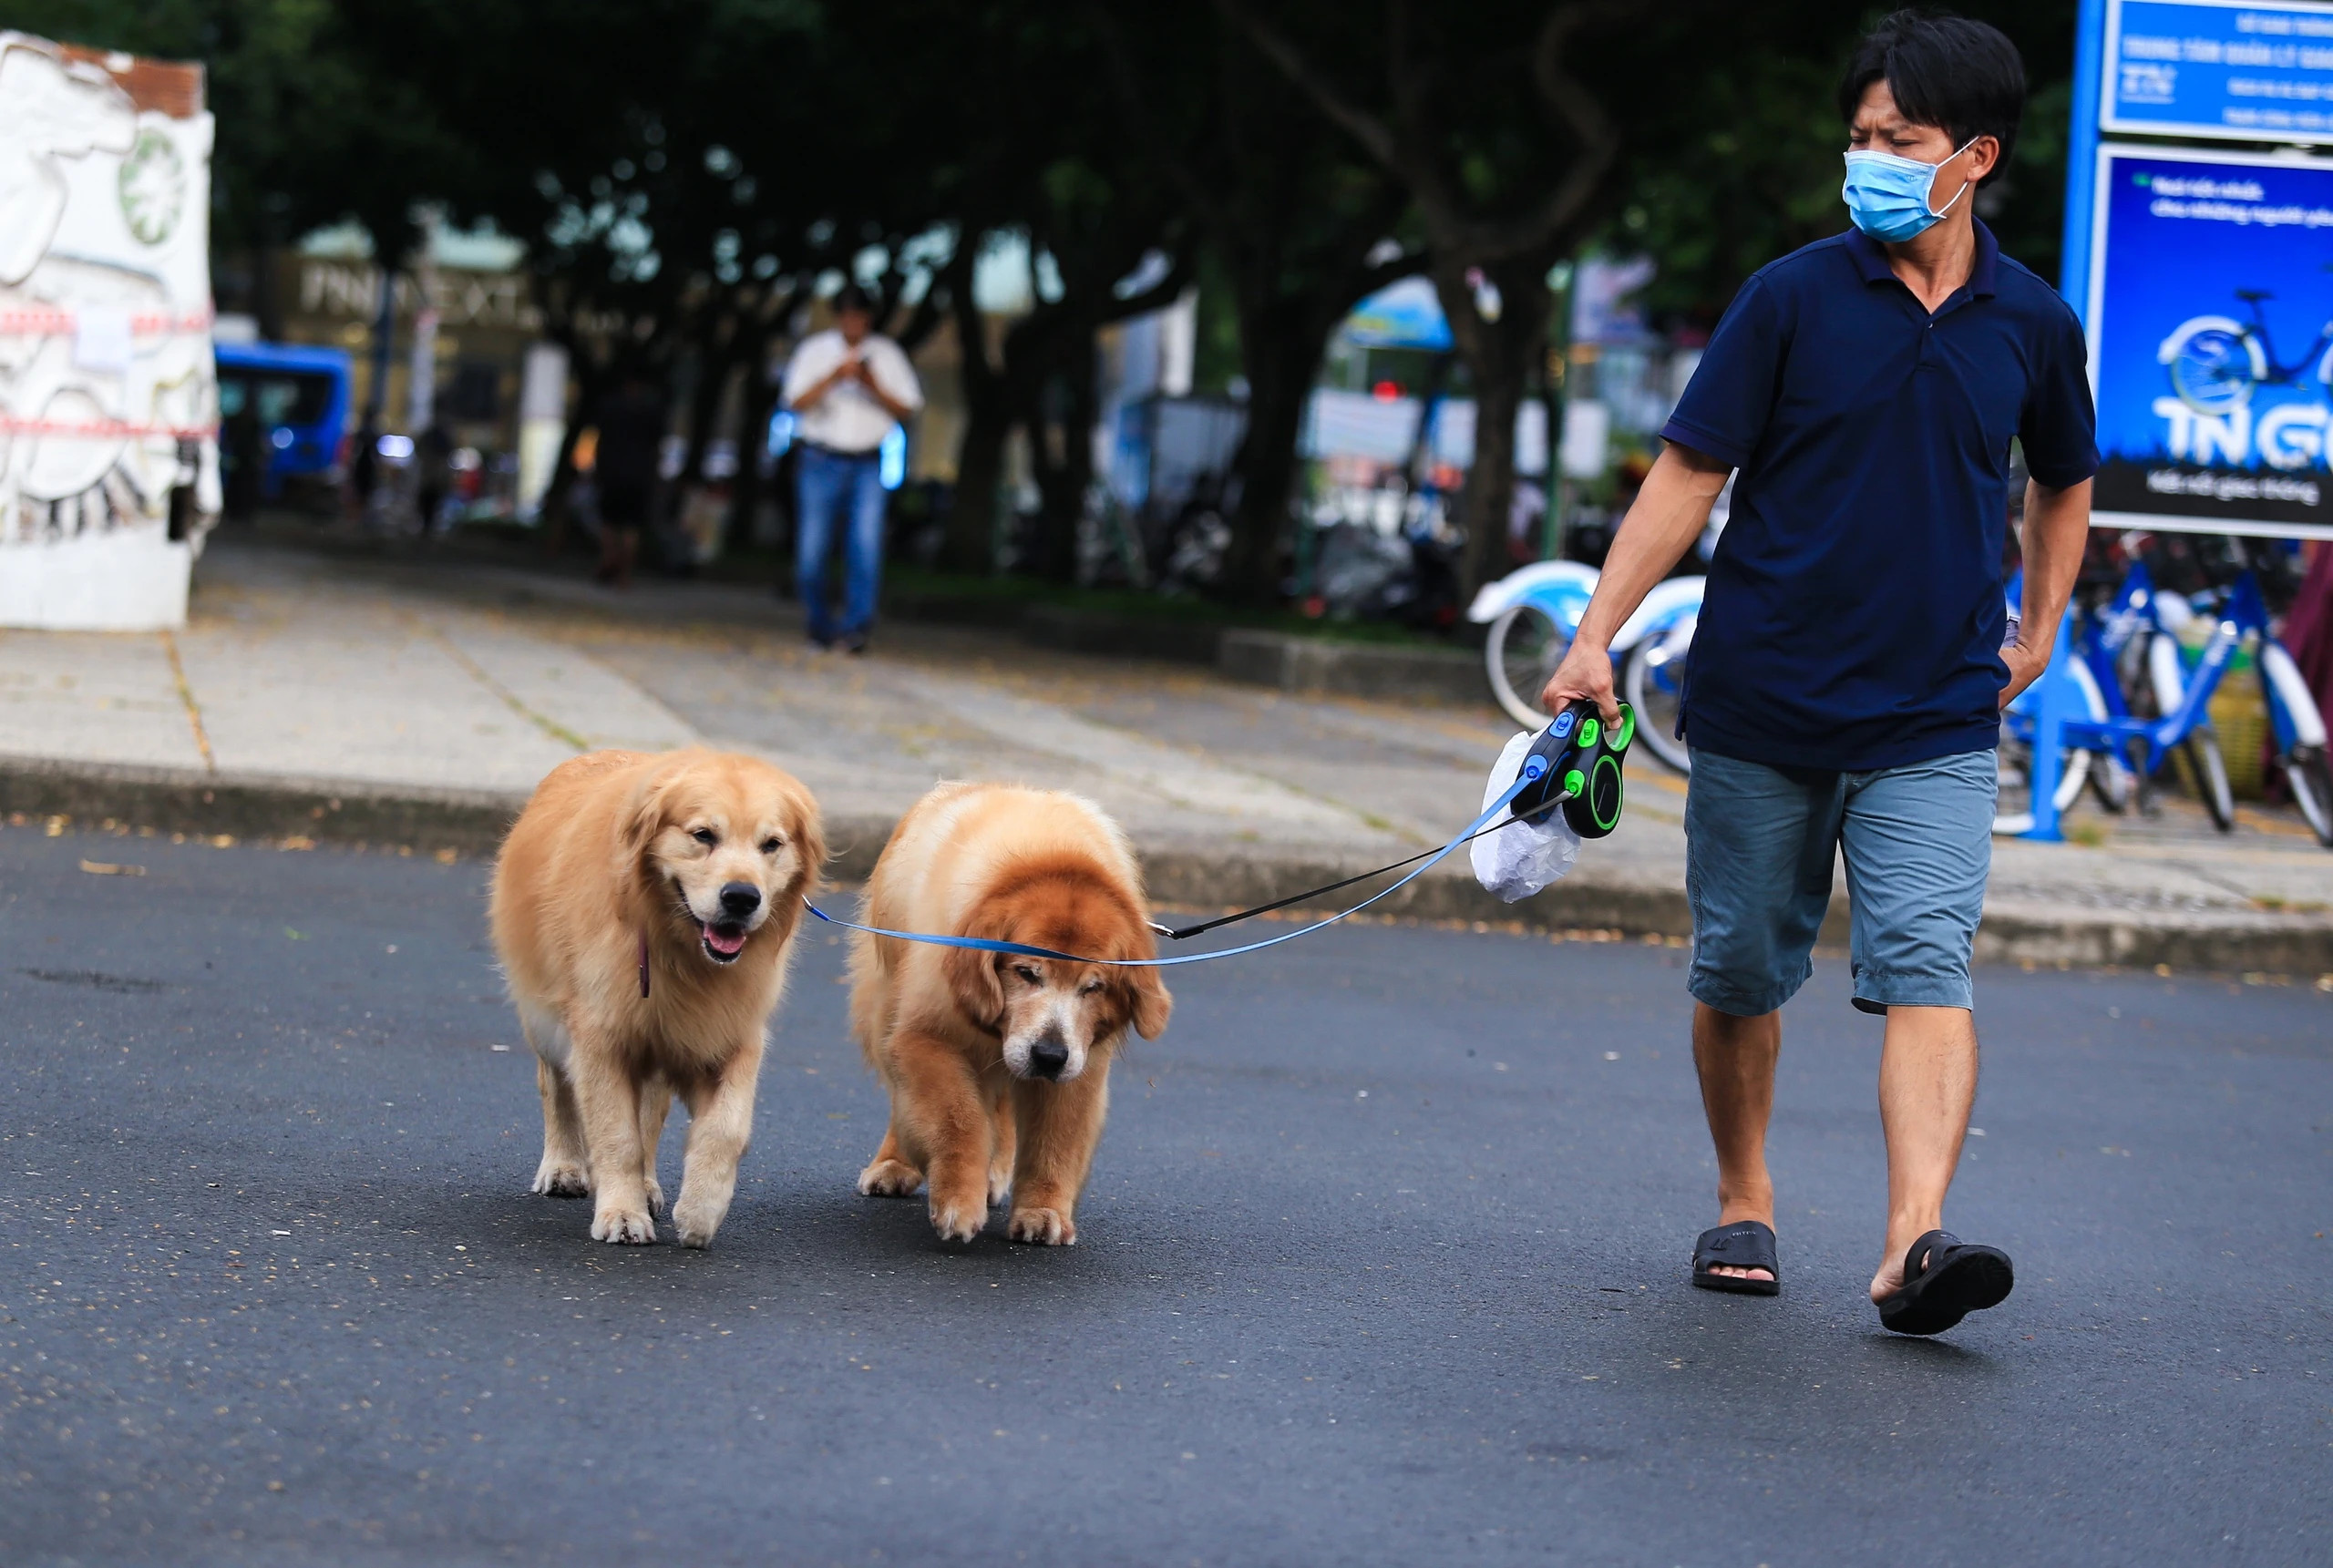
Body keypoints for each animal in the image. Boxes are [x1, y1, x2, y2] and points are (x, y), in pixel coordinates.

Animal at [488, 746, 826, 1250]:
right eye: (703, 835)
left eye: (771, 844)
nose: (742, 897)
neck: (678, 951)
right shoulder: (601, 1038)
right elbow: (616, 1133)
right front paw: (622, 1213)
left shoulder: (731, 1036)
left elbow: (726, 1129)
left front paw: (701, 1209)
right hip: (546, 1015)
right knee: (556, 1084)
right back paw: (564, 1165)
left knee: (651, 1113)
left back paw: (647, 1185)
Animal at [848, 784, 1166, 1250]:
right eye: (1026, 972)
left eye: (1093, 987)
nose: (1049, 1056)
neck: (1047, 857)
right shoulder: (928, 1036)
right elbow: (957, 1118)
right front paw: (959, 1201)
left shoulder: (1079, 1064)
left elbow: (1056, 1138)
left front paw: (1043, 1210)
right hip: (886, 1004)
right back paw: (896, 1163)